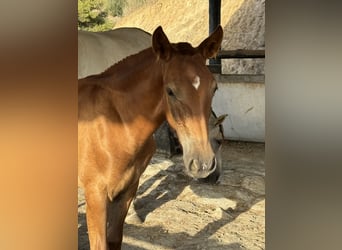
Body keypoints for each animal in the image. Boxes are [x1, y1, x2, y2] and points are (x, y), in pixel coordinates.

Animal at [78, 26, 224, 249]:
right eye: (170, 91)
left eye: (214, 88)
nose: (203, 164)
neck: (116, 122)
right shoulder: (95, 194)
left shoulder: (127, 190)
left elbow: (115, 239)